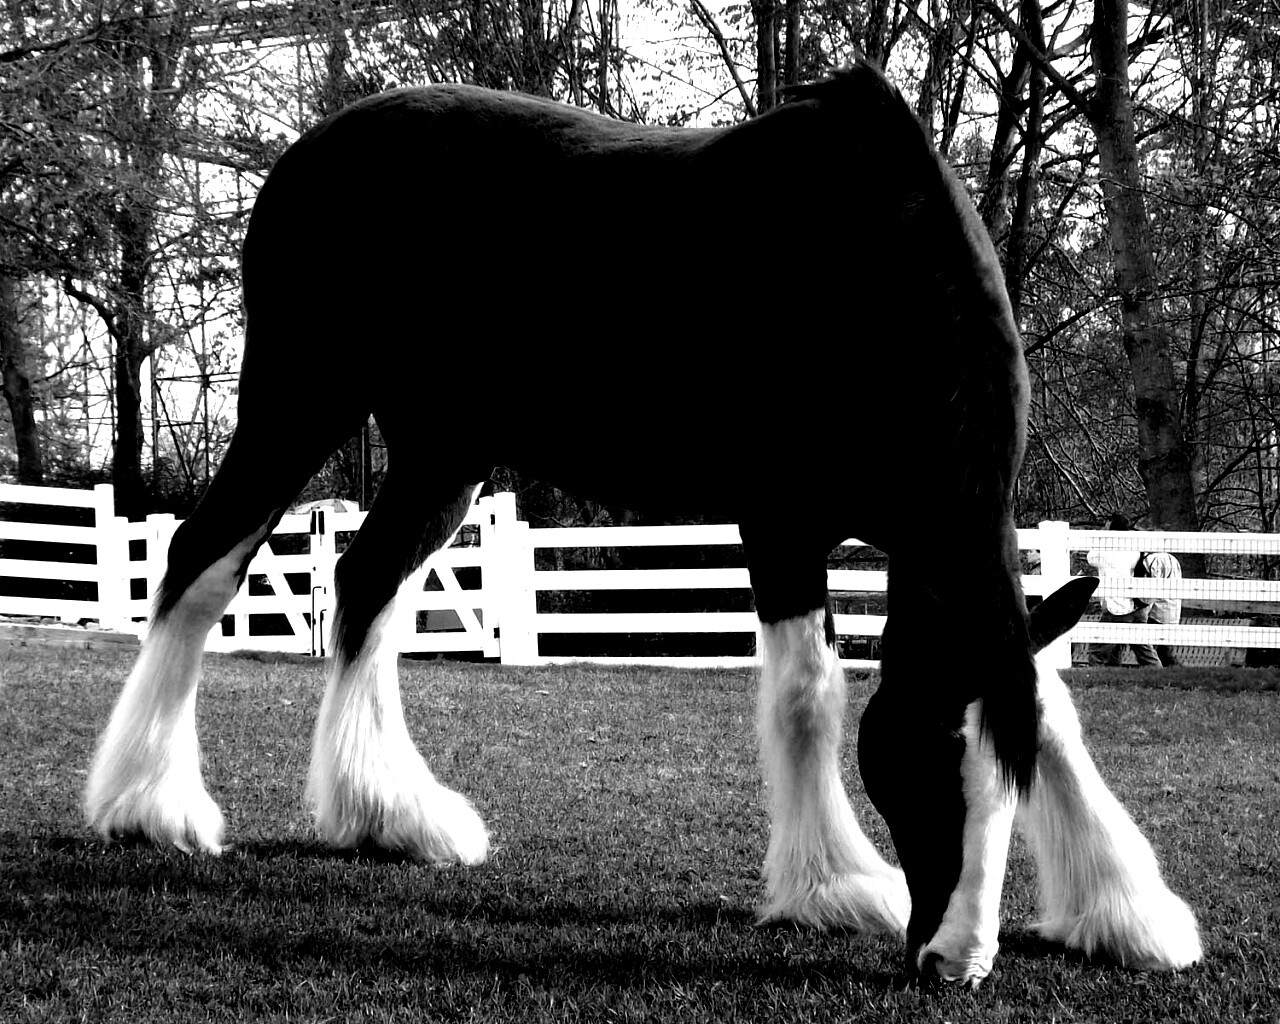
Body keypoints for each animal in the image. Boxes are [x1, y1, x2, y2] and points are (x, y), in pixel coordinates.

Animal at [84, 59, 1202, 985]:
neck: (864, 274)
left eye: (1000, 790)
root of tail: (311, 150)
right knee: (201, 562)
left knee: (367, 584)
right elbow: (808, 693)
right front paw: (837, 885)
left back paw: (391, 817)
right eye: (918, 762)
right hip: (297, 394)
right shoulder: (782, 519)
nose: (951, 964)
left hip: (443, 448)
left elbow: (1042, 704)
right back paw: (150, 805)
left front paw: (1125, 910)